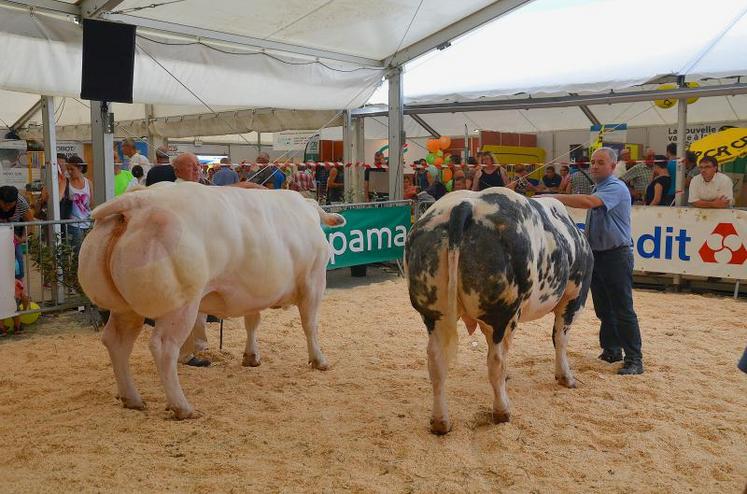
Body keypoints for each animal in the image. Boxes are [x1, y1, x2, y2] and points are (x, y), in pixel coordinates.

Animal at [79, 183, 344, 418]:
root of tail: (139, 201)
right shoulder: (314, 280)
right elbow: (310, 325)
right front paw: (319, 360)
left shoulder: (253, 292)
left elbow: (252, 322)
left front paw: (251, 357)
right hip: (181, 305)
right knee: (163, 347)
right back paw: (182, 407)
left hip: (125, 308)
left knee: (116, 342)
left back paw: (132, 399)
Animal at [406, 187, 592, 434]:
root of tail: (463, 206)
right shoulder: (574, 297)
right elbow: (560, 339)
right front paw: (566, 377)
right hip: (502, 313)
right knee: (495, 361)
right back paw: (502, 411)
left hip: (434, 313)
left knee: (437, 362)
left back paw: (440, 422)